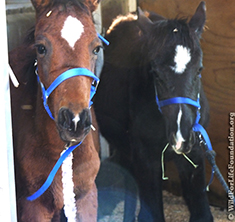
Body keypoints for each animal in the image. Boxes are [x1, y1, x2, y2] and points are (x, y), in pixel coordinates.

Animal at [93, 1, 213, 222]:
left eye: (199, 69)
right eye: (155, 72)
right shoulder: (145, 158)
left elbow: (202, 213)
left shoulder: (194, 155)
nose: (181, 136)